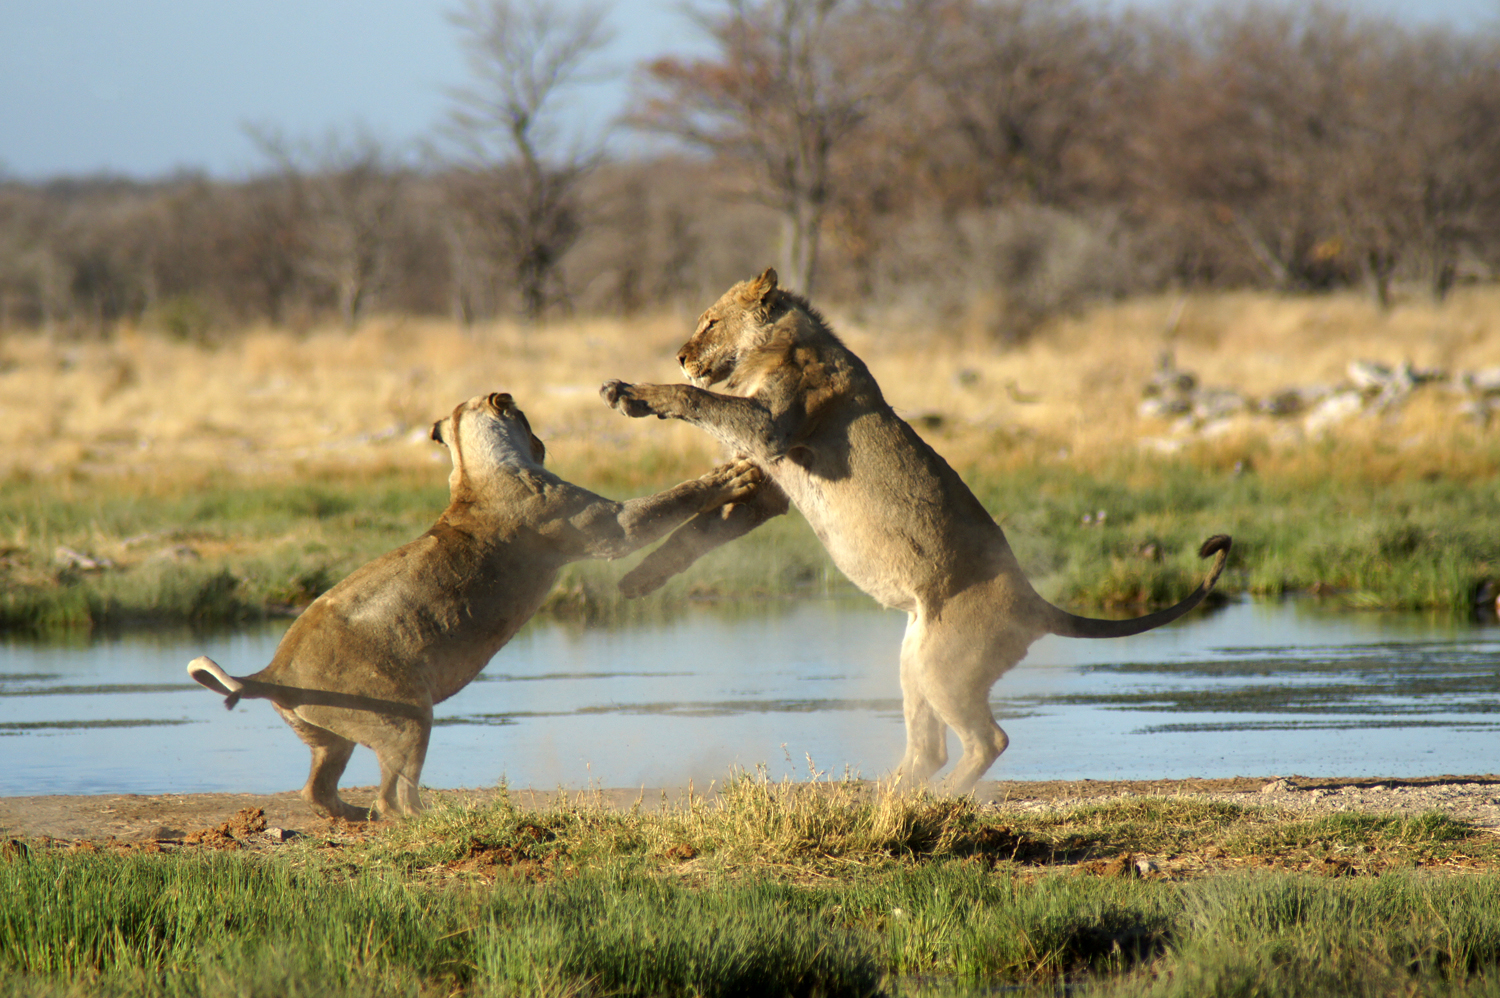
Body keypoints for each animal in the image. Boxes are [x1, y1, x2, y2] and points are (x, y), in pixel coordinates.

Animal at [184, 390, 762, 816]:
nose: (544, 440)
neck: (472, 468)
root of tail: (272, 670)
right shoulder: (606, 528)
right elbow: (665, 502)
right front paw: (733, 475)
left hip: (332, 736)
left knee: (319, 791)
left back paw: (353, 816)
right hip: (406, 715)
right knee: (394, 796)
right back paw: (425, 820)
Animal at [597, 268, 1230, 792]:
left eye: (709, 321)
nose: (680, 355)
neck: (781, 344)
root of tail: (1036, 601)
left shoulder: (771, 428)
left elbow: (698, 399)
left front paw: (635, 393)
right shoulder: (769, 483)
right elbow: (698, 530)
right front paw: (638, 581)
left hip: (941, 664)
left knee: (987, 740)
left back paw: (937, 803)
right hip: (914, 655)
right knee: (930, 750)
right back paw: (881, 801)